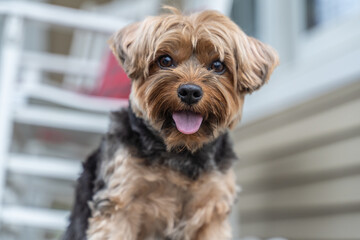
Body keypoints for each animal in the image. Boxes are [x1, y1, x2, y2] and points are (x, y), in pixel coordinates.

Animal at [64, 6, 278, 239]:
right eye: (165, 60)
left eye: (218, 65)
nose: (190, 91)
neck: (181, 149)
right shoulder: (120, 201)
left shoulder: (212, 209)